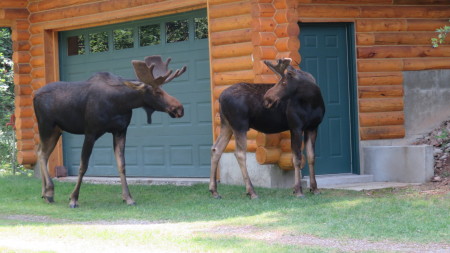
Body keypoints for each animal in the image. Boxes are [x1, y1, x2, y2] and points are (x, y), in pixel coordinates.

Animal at [34, 55, 186, 208]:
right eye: (157, 91)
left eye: (163, 88)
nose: (179, 108)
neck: (120, 104)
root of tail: (34, 95)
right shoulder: (90, 131)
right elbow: (83, 166)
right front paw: (73, 199)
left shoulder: (120, 130)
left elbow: (121, 165)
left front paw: (128, 197)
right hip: (46, 126)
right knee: (42, 153)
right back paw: (49, 191)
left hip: (56, 130)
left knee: (41, 152)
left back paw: (45, 193)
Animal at [209, 58, 326, 199]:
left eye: (284, 82)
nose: (267, 98)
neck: (313, 102)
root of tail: (220, 98)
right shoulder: (295, 126)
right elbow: (297, 158)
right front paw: (298, 190)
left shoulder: (313, 127)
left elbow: (311, 157)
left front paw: (314, 188)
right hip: (240, 125)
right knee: (240, 153)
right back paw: (251, 191)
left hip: (226, 124)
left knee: (216, 149)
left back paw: (214, 191)